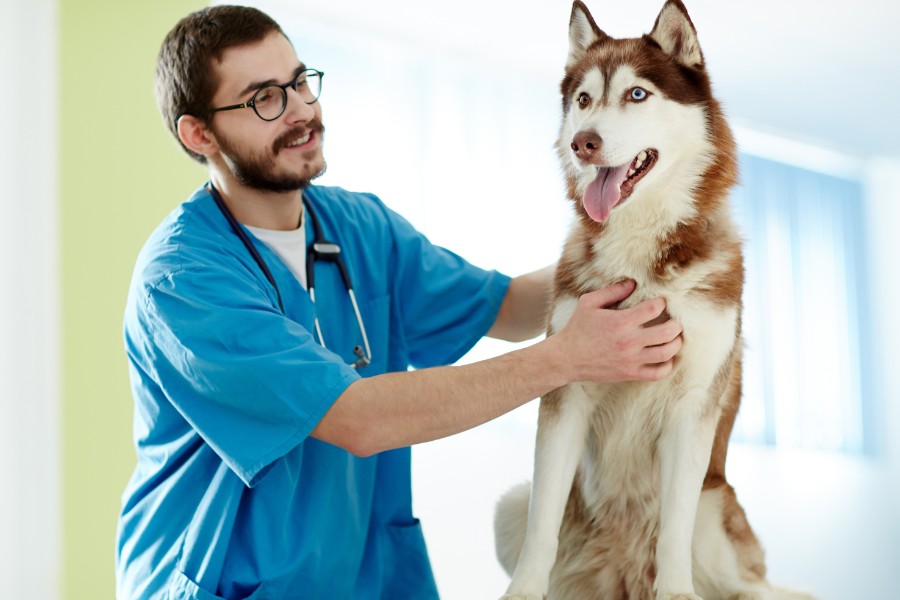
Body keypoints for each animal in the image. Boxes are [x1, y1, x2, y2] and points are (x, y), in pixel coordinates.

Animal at [492, 1, 816, 600]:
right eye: (584, 100)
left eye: (637, 94)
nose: (584, 142)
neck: (642, 257)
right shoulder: (566, 390)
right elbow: (542, 526)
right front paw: (523, 592)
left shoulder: (693, 403)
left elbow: (673, 530)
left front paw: (676, 590)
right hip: (512, 506)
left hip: (716, 511)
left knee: (748, 583)